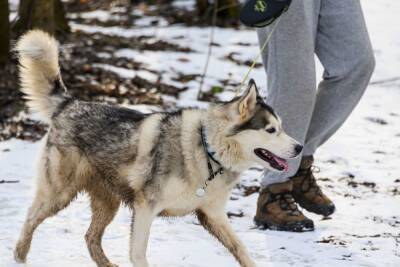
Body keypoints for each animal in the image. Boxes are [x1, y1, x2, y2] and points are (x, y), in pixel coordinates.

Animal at [13, 30, 304, 267]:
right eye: (271, 130)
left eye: (282, 127)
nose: (300, 147)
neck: (207, 151)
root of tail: (69, 103)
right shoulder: (145, 207)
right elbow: (139, 254)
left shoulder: (213, 215)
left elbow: (242, 250)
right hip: (58, 194)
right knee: (29, 219)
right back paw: (19, 257)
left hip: (108, 203)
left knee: (90, 237)